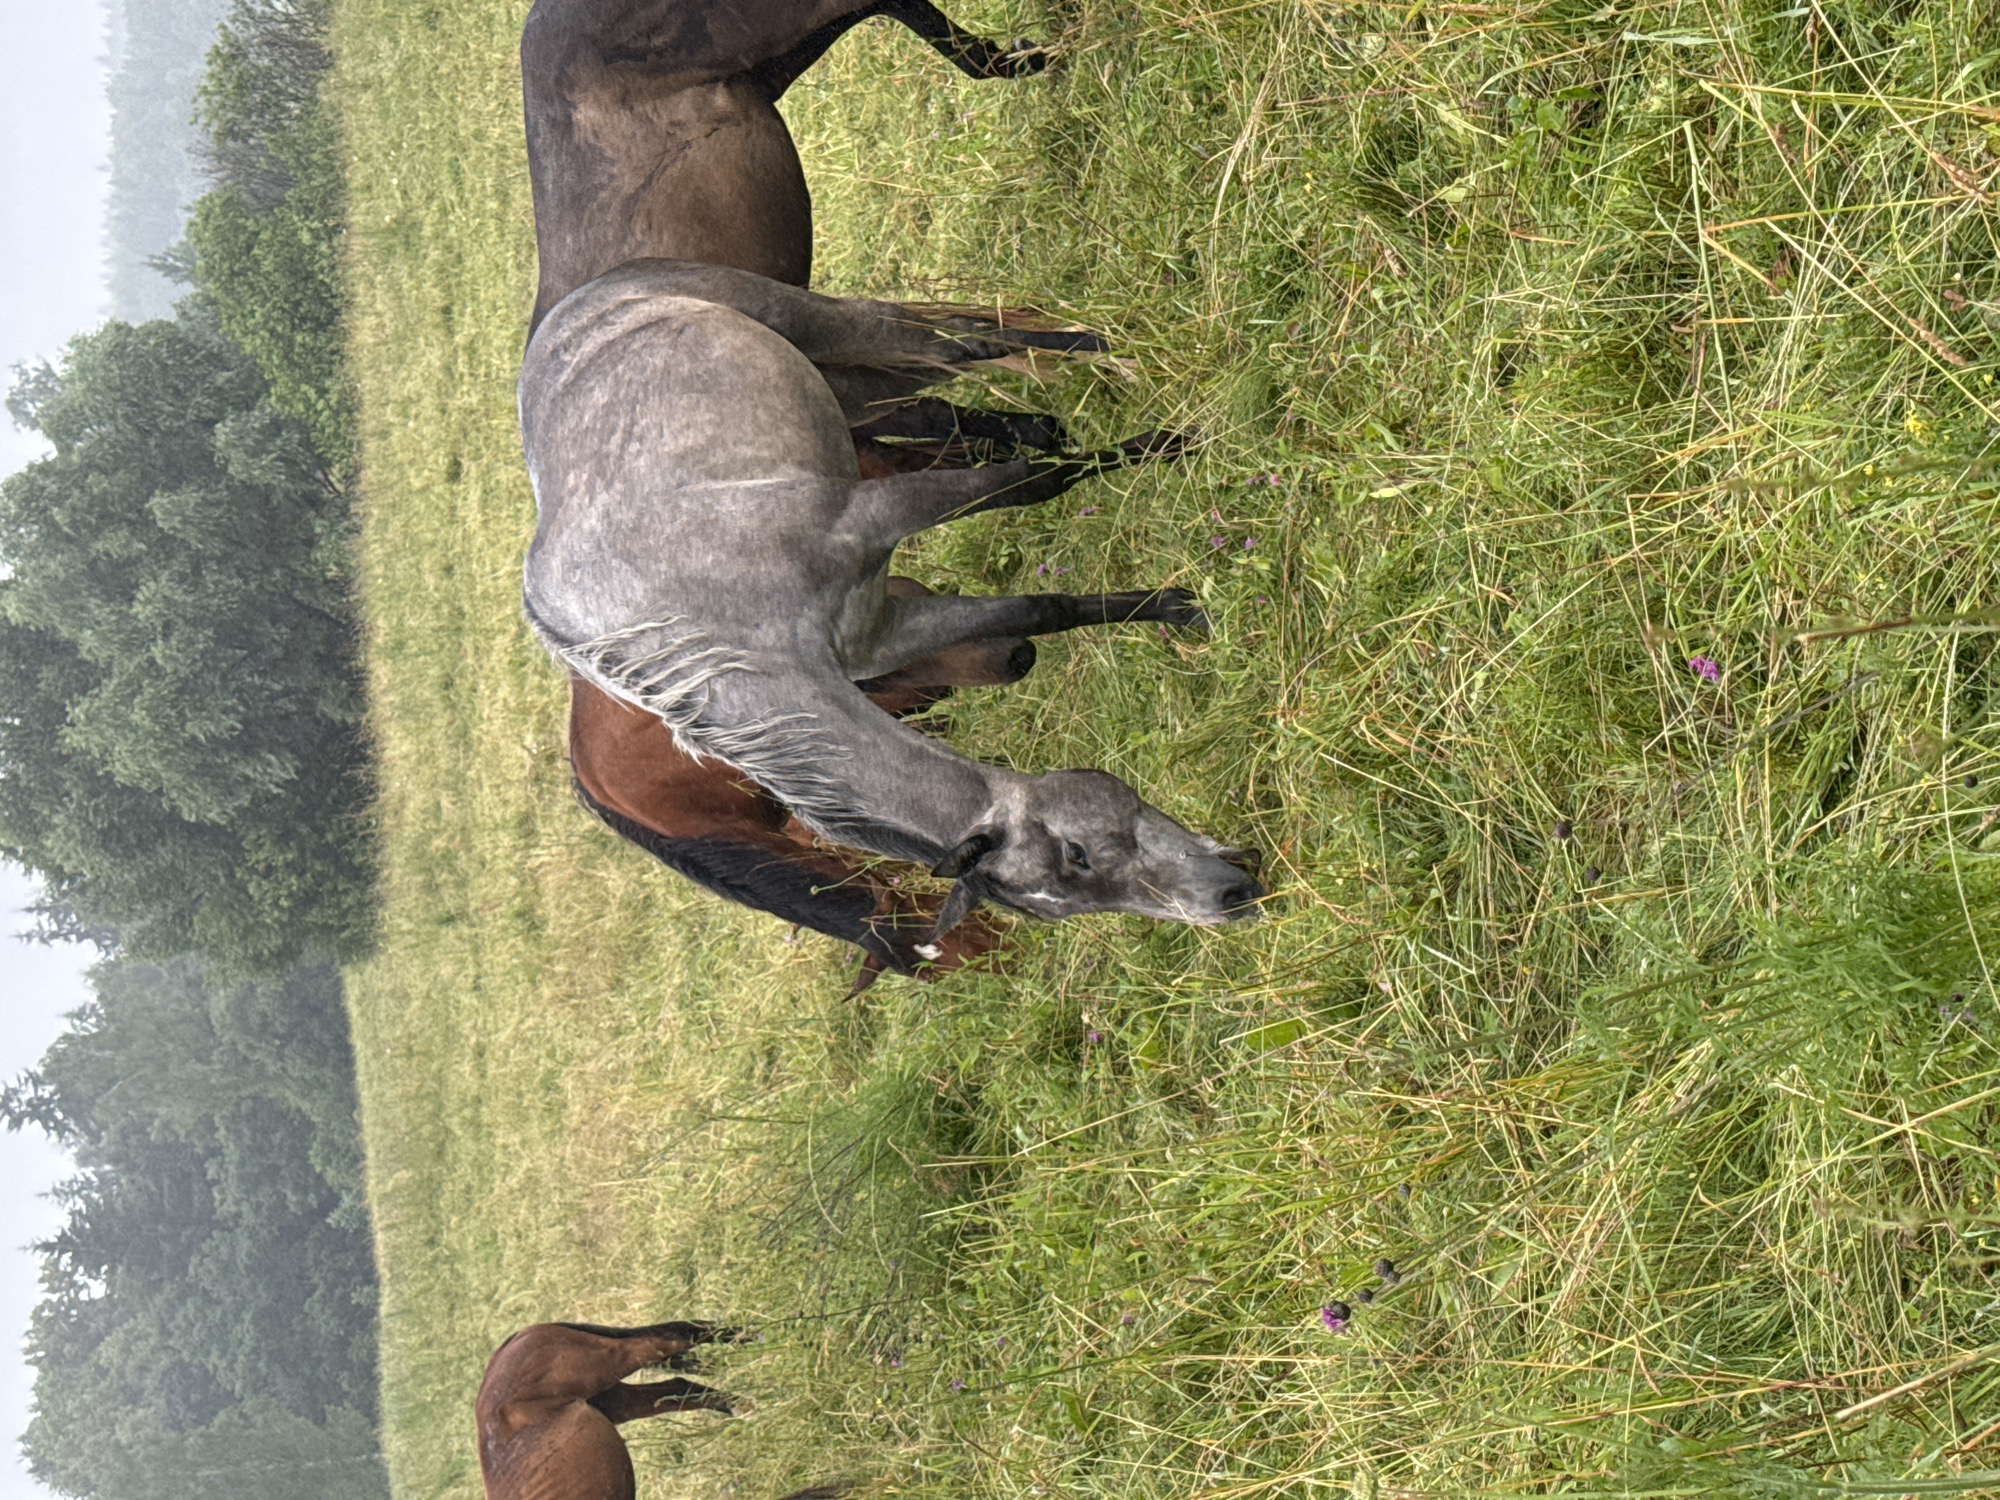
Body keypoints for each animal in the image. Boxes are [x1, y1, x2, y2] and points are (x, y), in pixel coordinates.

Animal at [476, 1320, 841, 1500]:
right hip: (617, 1400)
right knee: (680, 1386)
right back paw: (752, 1402)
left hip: (613, 1361)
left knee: (674, 1336)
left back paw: (785, 1337)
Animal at [520, 258, 1267, 937]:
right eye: (1072, 878)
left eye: (1076, 852)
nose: (1231, 899)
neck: (720, 633)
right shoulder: (889, 629)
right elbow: (1038, 607)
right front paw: (1172, 605)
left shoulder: (873, 514)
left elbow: (1034, 483)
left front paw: (1169, 445)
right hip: (848, 387)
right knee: (943, 361)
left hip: (814, 323)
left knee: (956, 341)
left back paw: (1103, 345)